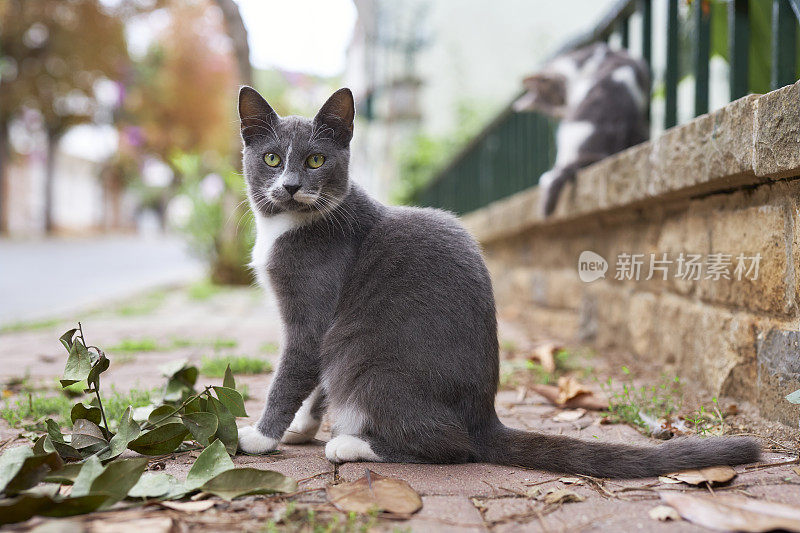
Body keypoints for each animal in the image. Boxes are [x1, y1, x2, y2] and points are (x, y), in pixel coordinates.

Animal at [234, 85, 760, 476]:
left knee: (450, 445)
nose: (290, 186)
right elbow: (314, 385)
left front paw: (261, 436)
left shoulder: (315, 316)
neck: (286, 227)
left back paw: (351, 444)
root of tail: (484, 416)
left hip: (363, 357)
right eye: (273, 159)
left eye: (316, 161)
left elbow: (292, 374)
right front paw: (301, 428)